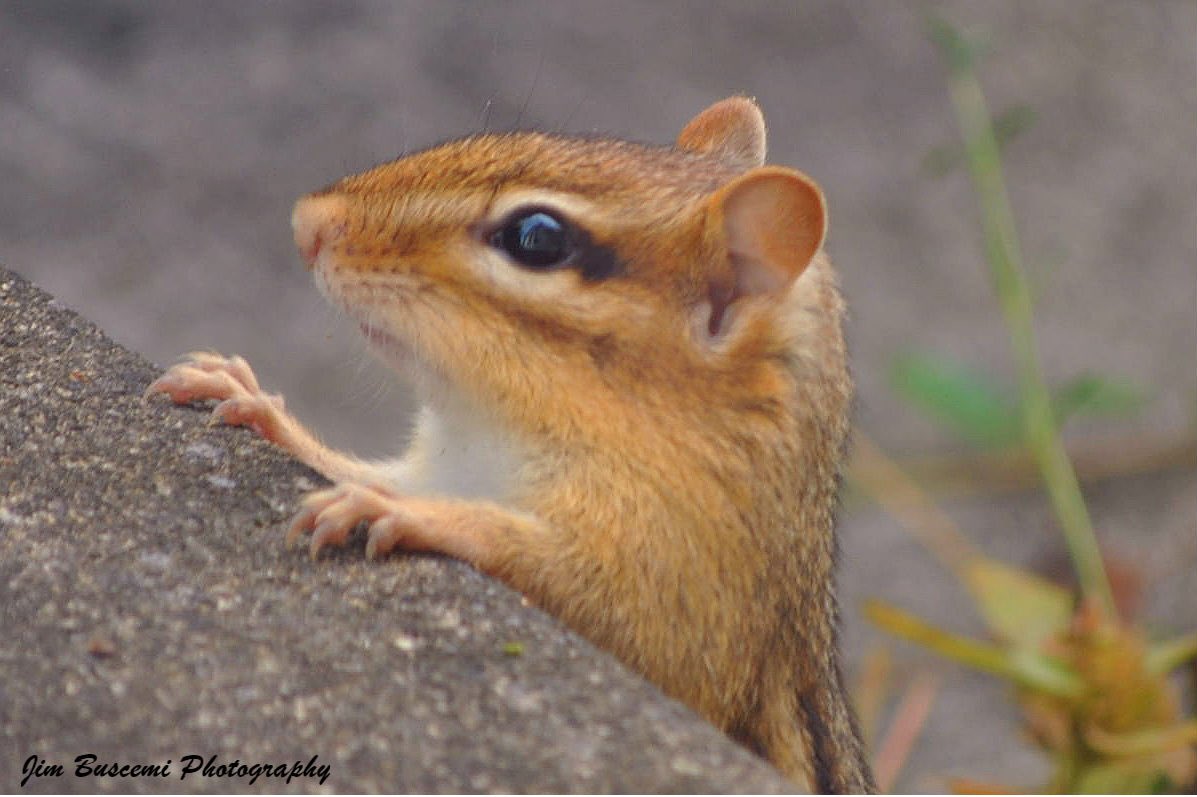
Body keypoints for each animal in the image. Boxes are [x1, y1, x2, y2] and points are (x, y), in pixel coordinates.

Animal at [148, 97, 874, 793]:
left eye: (536, 239)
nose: (309, 223)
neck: (495, 431)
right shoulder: (440, 466)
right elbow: (358, 469)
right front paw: (255, 405)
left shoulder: (688, 592)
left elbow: (576, 592)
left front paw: (412, 515)